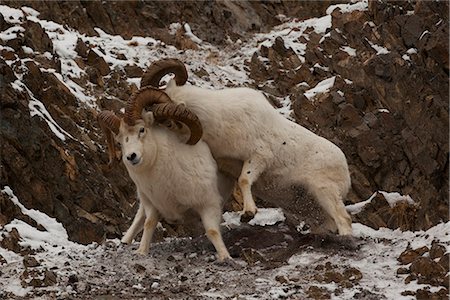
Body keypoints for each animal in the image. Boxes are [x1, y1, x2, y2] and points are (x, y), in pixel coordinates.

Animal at [99, 88, 232, 262]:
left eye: (142, 130)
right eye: (120, 141)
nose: (131, 157)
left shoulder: (209, 205)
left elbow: (212, 231)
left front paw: (225, 257)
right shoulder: (152, 204)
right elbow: (149, 223)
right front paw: (141, 251)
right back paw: (125, 240)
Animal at [136, 58, 352, 237]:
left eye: (165, 121)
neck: (222, 121)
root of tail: (344, 169)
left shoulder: (258, 157)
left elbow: (245, 180)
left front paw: (248, 213)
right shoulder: (225, 170)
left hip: (325, 193)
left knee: (344, 220)